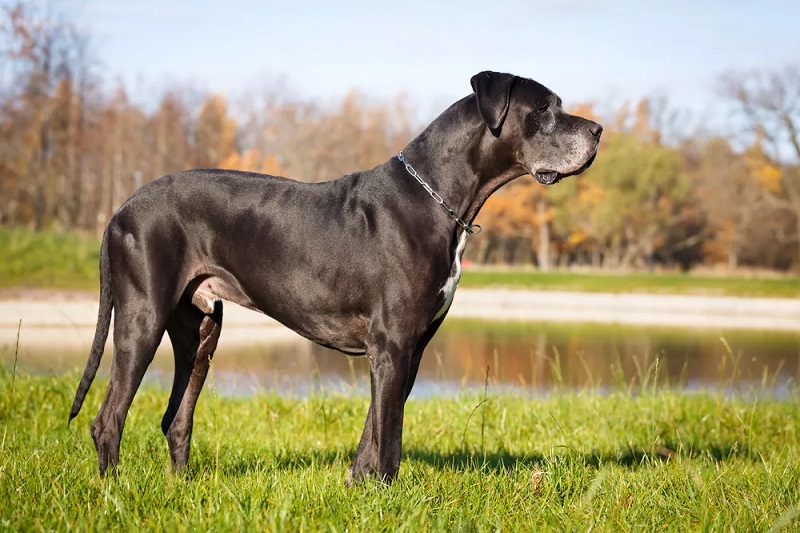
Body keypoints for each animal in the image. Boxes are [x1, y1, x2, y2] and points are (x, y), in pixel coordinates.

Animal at [72, 70, 604, 482]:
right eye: (545, 108)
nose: (599, 130)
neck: (438, 197)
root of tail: (120, 209)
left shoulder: (408, 348)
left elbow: (374, 432)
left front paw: (357, 486)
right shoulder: (392, 344)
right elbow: (390, 439)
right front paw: (387, 496)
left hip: (200, 330)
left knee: (176, 418)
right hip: (143, 318)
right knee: (109, 418)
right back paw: (113, 492)